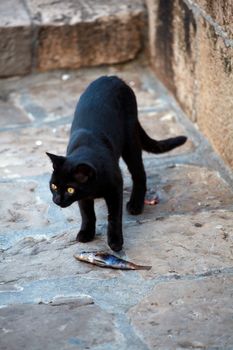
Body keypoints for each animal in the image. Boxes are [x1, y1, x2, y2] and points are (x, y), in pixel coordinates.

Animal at [46, 76, 187, 252]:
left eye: (70, 189)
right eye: (54, 186)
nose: (57, 200)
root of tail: (112, 77)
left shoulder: (115, 189)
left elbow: (113, 217)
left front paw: (115, 242)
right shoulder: (84, 197)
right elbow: (87, 214)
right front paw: (86, 233)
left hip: (130, 142)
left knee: (139, 173)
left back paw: (135, 205)